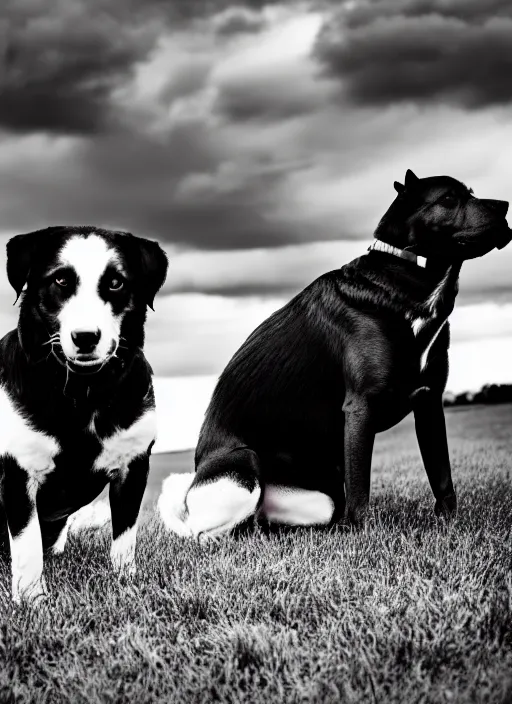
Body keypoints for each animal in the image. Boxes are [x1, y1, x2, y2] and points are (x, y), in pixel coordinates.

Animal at [0, 226, 168, 600]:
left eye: (116, 282)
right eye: (60, 279)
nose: (86, 337)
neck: (83, 391)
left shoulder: (133, 467)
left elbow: (124, 540)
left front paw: (125, 583)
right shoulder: (19, 472)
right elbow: (27, 546)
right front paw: (32, 601)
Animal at [158, 170, 510, 540]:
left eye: (471, 192)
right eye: (448, 199)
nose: (505, 206)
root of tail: (190, 497)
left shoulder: (429, 401)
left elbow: (442, 477)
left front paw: (449, 524)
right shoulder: (360, 407)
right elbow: (359, 489)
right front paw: (359, 533)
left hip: (316, 502)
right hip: (244, 465)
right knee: (211, 533)